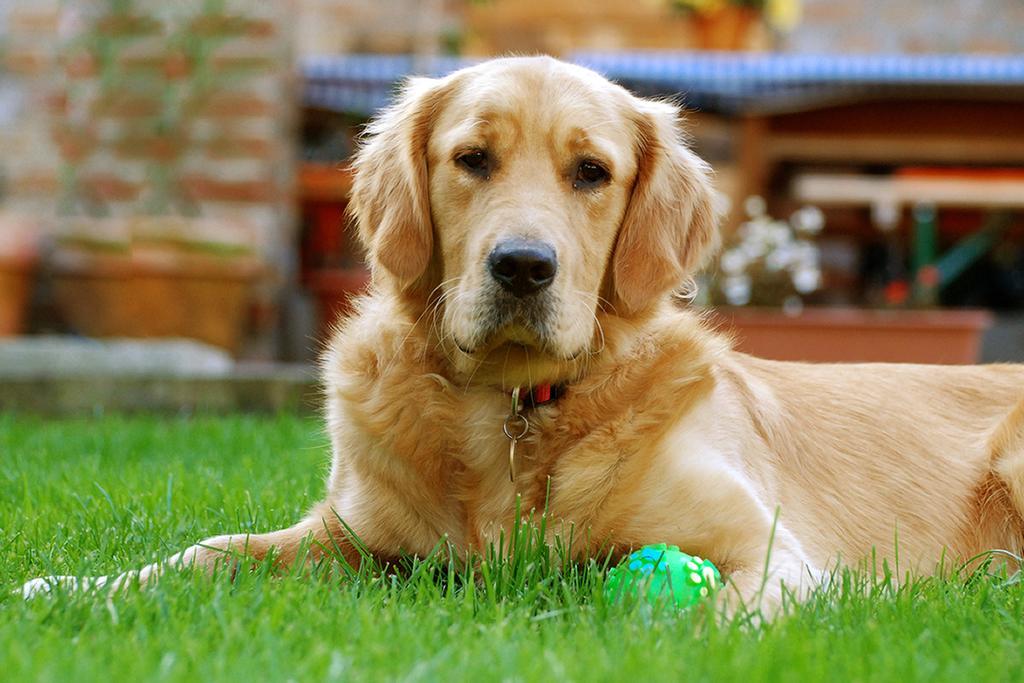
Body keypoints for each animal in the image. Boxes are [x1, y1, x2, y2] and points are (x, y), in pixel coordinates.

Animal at [22, 57, 1024, 614]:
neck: (508, 409)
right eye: (473, 159)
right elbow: (208, 552)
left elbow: (718, 615)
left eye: (591, 172)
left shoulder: (774, 554)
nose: (523, 267)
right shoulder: (345, 537)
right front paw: (79, 591)